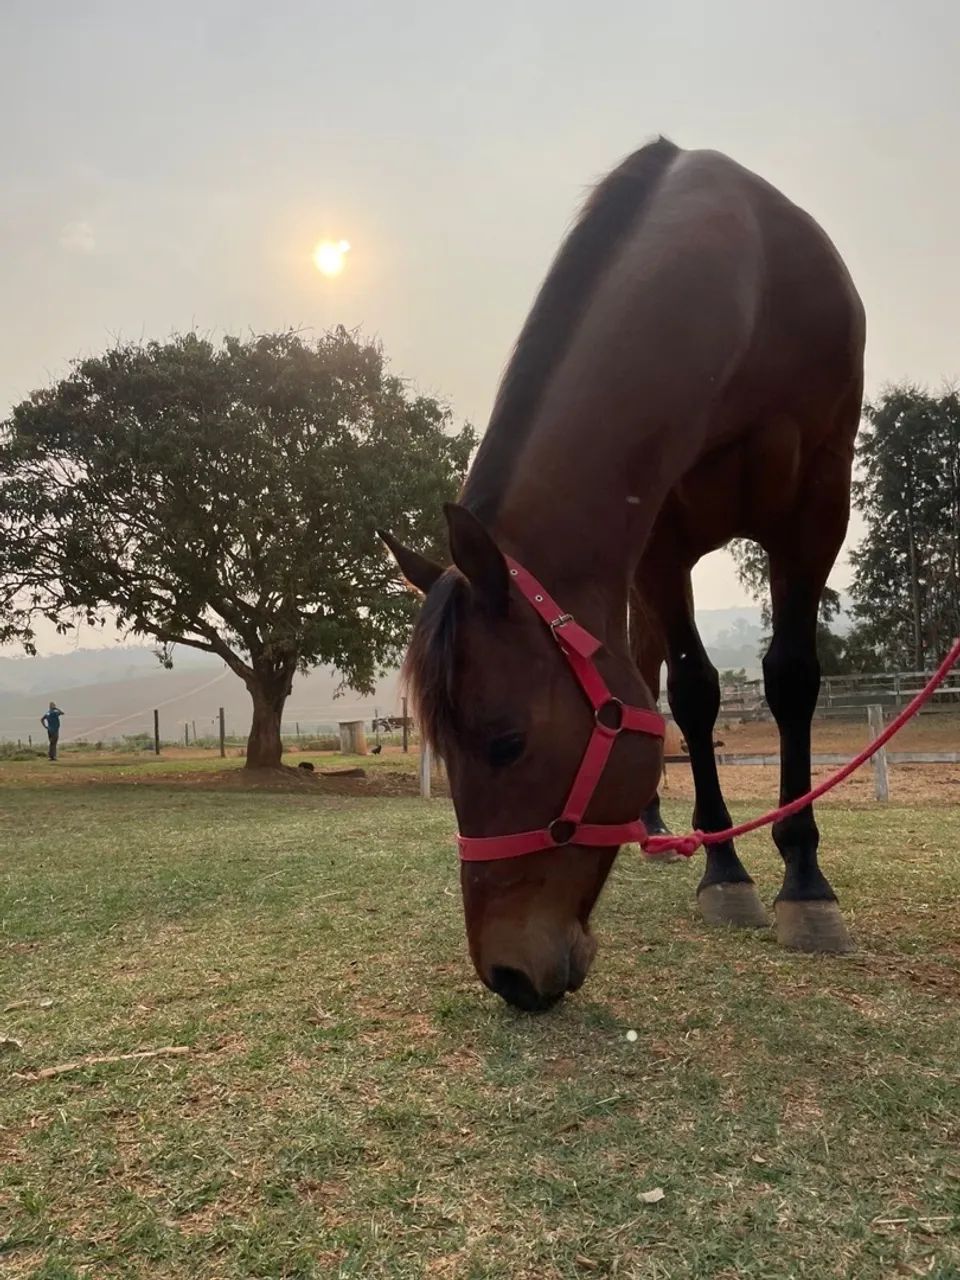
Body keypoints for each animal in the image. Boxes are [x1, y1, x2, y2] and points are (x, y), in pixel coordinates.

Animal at [380, 137, 865, 1012]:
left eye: (506, 742)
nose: (508, 975)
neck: (752, 286)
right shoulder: (661, 540)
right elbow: (695, 692)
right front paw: (726, 873)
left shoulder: (818, 510)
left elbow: (791, 680)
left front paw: (804, 884)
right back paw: (660, 825)